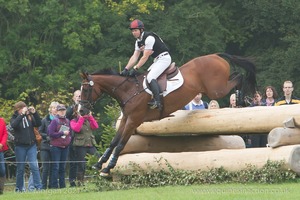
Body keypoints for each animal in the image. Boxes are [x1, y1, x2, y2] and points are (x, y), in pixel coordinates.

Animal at [79, 52, 255, 176]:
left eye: (86, 89)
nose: (81, 111)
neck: (128, 90)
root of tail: (215, 55)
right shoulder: (126, 119)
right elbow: (114, 141)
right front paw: (99, 163)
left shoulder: (134, 120)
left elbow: (121, 143)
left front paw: (108, 167)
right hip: (215, 87)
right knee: (236, 76)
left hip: (216, 89)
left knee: (239, 77)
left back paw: (241, 100)